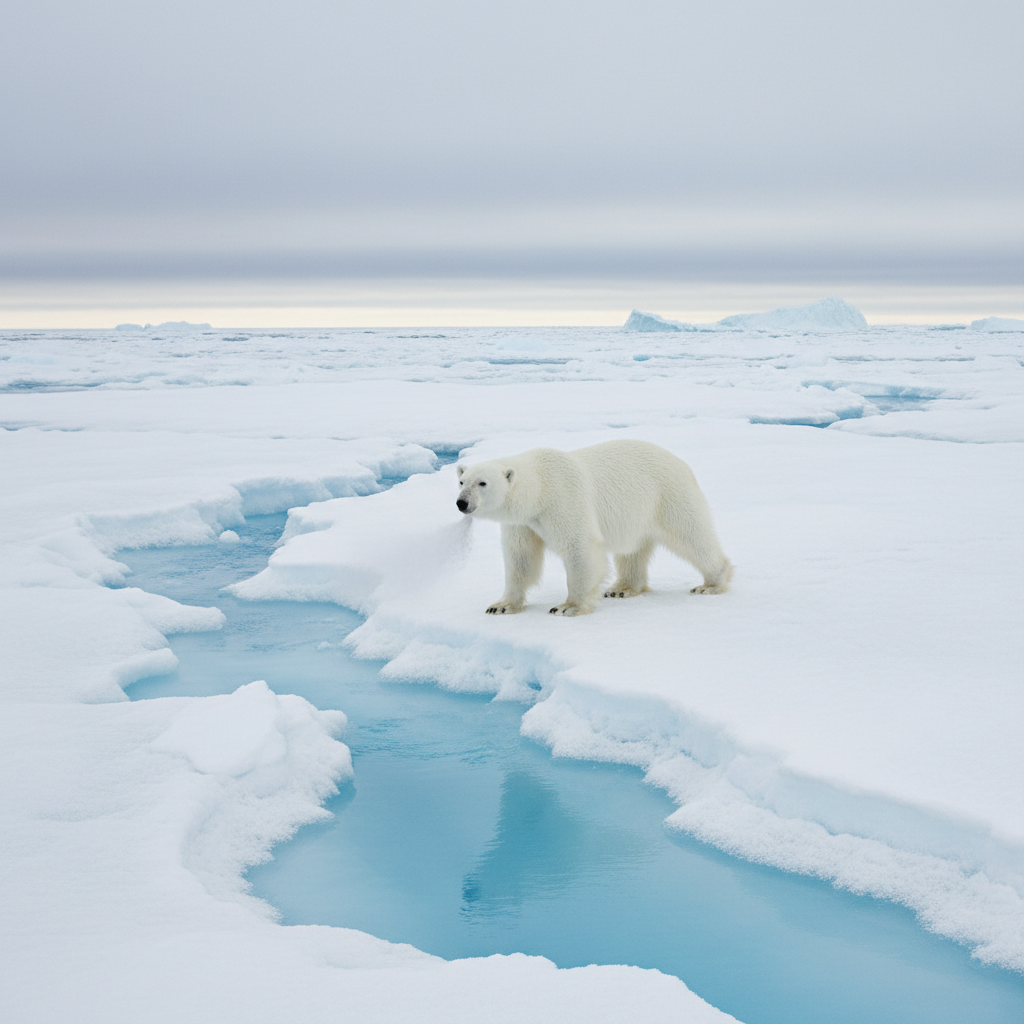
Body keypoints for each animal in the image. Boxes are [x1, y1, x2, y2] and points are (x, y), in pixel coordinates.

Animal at [455, 439, 732, 616]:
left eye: (482, 483)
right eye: (461, 481)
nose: (461, 502)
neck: (540, 489)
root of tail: (682, 463)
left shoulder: (563, 500)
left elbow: (579, 548)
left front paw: (568, 606)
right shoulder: (523, 523)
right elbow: (521, 560)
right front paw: (500, 606)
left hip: (667, 494)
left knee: (692, 534)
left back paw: (711, 583)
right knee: (632, 551)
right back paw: (622, 589)